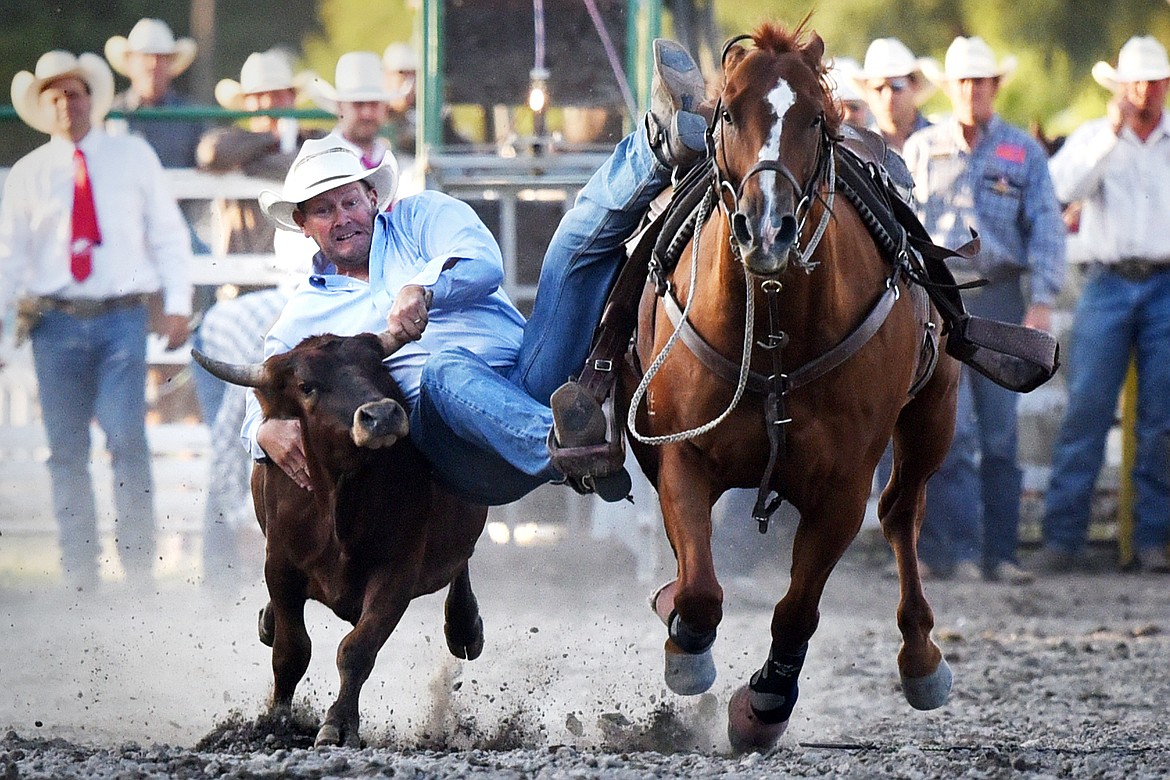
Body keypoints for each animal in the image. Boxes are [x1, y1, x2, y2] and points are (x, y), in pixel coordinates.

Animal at [622, 22, 959, 757]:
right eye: (729, 113)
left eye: (814, 119)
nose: (767, 227)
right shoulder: (681, 454)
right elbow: (700, 590)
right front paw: (686, 647)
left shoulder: (841, 486)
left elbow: (799, 606)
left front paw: (765, 702)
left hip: (934, 416)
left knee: (902, 512)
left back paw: (922, 659)